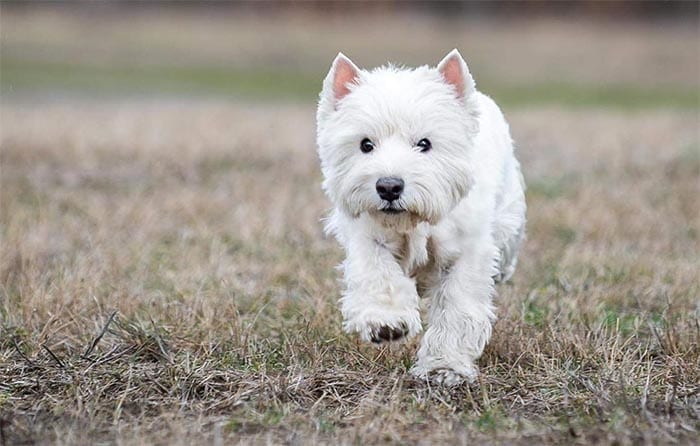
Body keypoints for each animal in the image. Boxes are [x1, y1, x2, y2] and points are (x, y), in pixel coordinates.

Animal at [318, 48, 524, 384]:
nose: (389, 186)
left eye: (424, 143)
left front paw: (444, 366)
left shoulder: (466, 252)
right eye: (365, 144)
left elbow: (457, 306)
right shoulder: (367, 234)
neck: (415, 222)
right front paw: (385, 323)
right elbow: (377, 272)